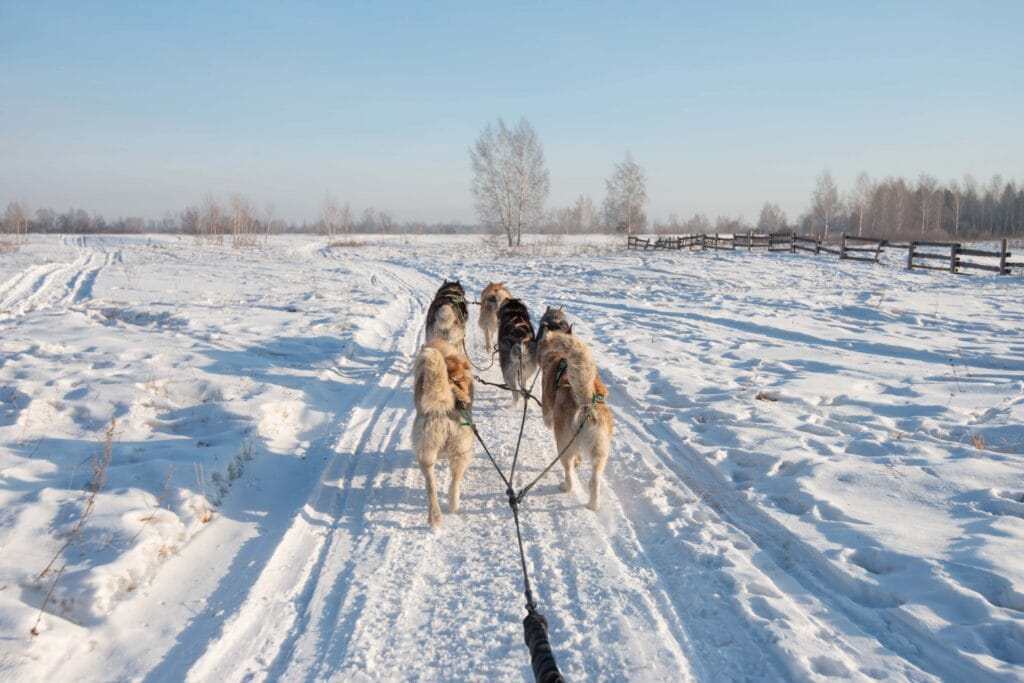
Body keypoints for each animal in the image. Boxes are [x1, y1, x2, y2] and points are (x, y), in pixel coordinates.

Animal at [411, 339, 475, 528]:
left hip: (428, 452)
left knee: (432, 486)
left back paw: (435, 517)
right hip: (461, 451)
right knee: (454, 483)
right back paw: (451, 508)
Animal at [540, 327, 610, 509]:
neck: (558, 357)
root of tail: (585, 400)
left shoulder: (547, 413)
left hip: (563, 446)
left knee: (569, 473)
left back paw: (565, 486)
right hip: (599, 453)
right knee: (594, 482)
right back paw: (593, 505)